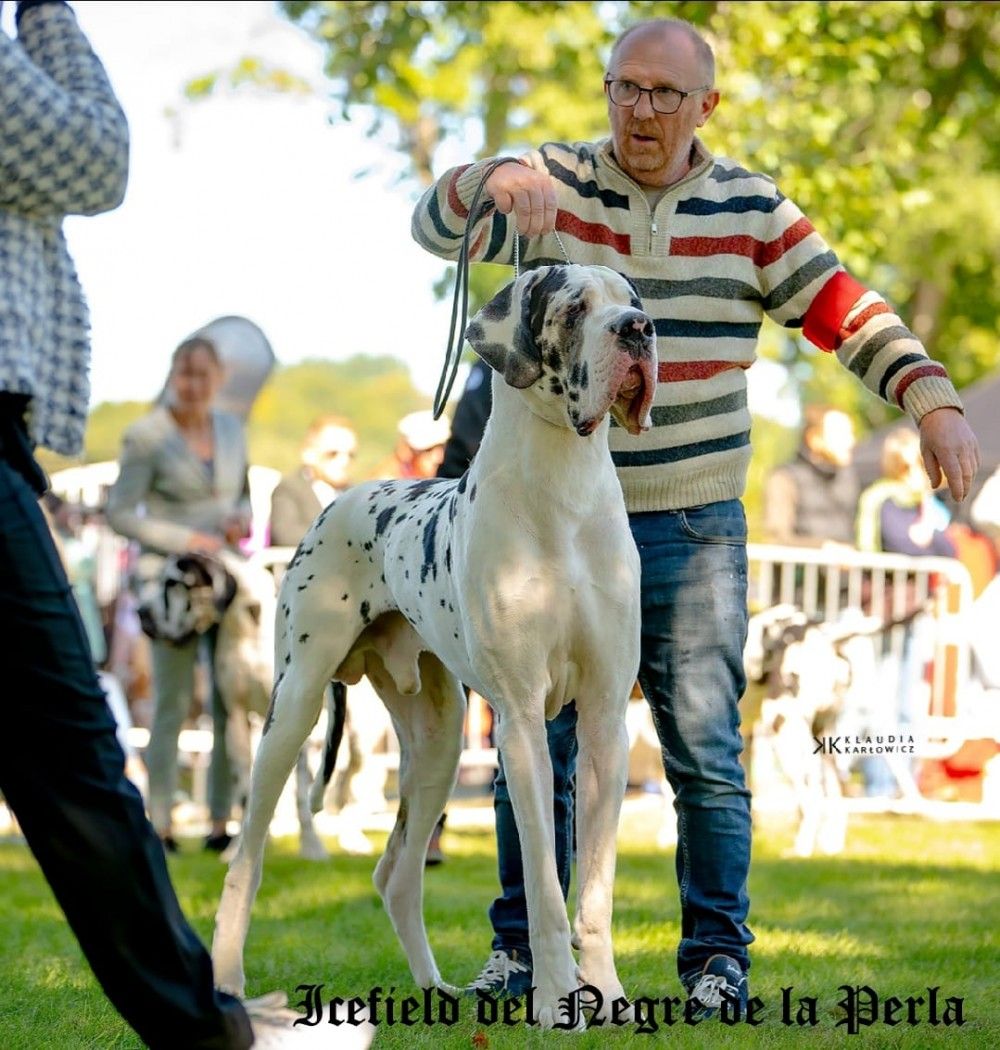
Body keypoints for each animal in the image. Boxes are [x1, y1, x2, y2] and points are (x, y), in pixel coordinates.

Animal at [212, 263, 656, 1027]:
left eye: (632, 300)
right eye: (575, 309)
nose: (637, 330)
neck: (564, 488)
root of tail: (339, 499)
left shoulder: (605, 722)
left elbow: (593, 891)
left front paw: (610, 999)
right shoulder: (522, 725)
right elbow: (544, 885)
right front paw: (552, 1001)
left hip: (439, 740)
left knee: (395, 872)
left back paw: (433, 989)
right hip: (291, 710)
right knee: (250, 855)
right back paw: (229, 978)